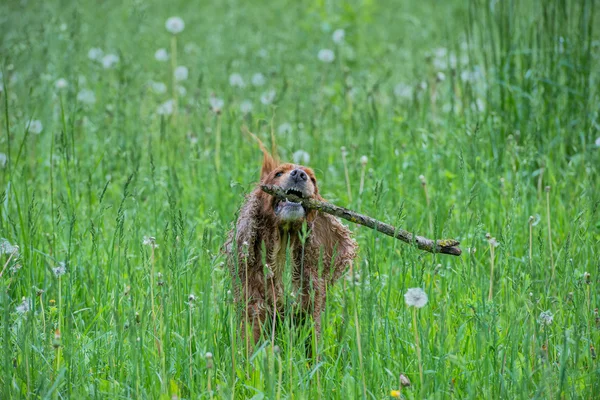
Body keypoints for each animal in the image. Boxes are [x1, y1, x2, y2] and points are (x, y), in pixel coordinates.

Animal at [224, 142, 356, 346]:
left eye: (312, 179)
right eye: (278, 173)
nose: (299, 174)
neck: (284, 239)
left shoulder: (309, 314)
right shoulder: (255, 309)